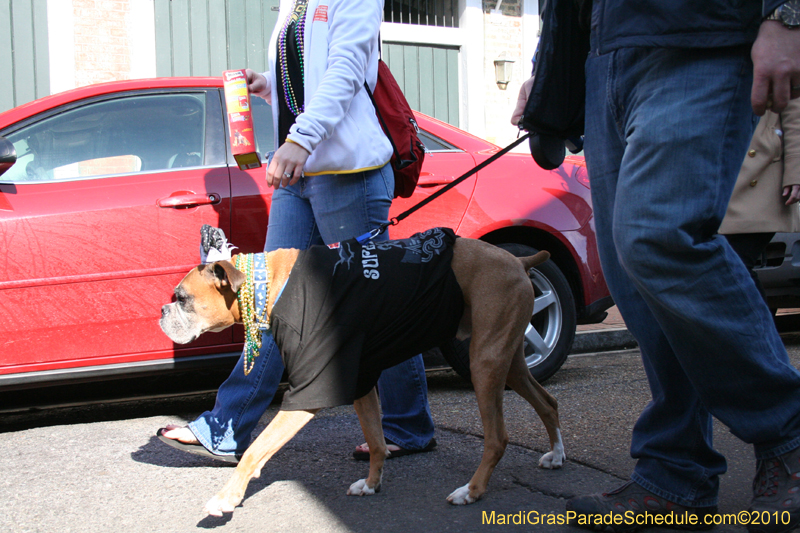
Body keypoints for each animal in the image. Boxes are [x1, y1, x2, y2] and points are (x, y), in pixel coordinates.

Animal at [159, 228, 564, 516]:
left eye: (182, 299)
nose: (162, 311)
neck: (269, 284)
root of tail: (520, 261)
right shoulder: (360, 381)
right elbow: (376, 439)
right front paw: (371, 484)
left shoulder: (307, 395)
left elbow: (256, 449)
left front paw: (226, 498)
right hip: (508, 361)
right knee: (548, 402)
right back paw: (556, 455)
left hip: (485, 364)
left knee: (497, 437)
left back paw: (473, 491)